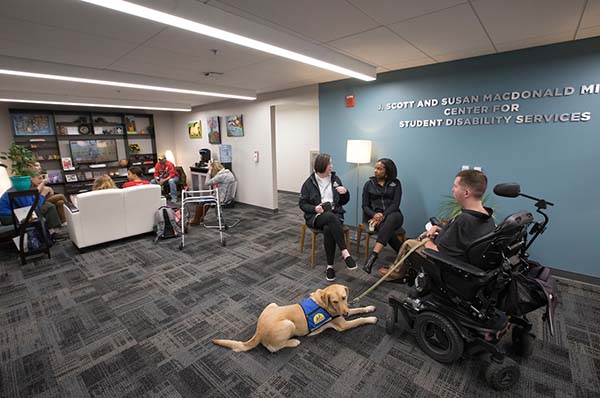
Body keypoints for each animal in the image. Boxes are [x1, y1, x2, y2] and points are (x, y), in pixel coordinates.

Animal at [213, 284, 378, 352]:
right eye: (335, 301)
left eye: (344, 297)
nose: (345, 313)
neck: (324, 303)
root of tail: (258, 331)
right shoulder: (342, 325)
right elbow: (359, 320)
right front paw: (371, 319)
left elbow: (358, 310)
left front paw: (369, 308)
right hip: (288, 324)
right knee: (273, 348)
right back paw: (293, 342)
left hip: (272, 304)